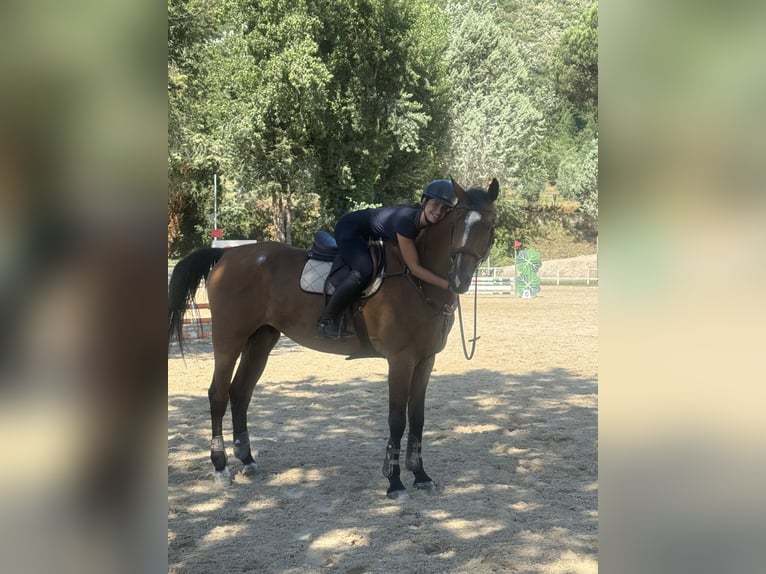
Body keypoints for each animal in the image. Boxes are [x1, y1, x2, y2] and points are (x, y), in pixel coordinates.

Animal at [168, 178, 499, 500]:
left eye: (490, 225)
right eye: (456, 222)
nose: (460, 279)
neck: (417, 280)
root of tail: (227, 254)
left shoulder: (425, 360)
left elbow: (417, 418)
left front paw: (421, 476)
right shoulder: (401, 361)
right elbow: (397, 419)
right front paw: (394, 482)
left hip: (261, 340)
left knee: (240, 393)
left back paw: (247, 461)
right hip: (229, 340)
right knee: (219, 395)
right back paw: (220, 467)